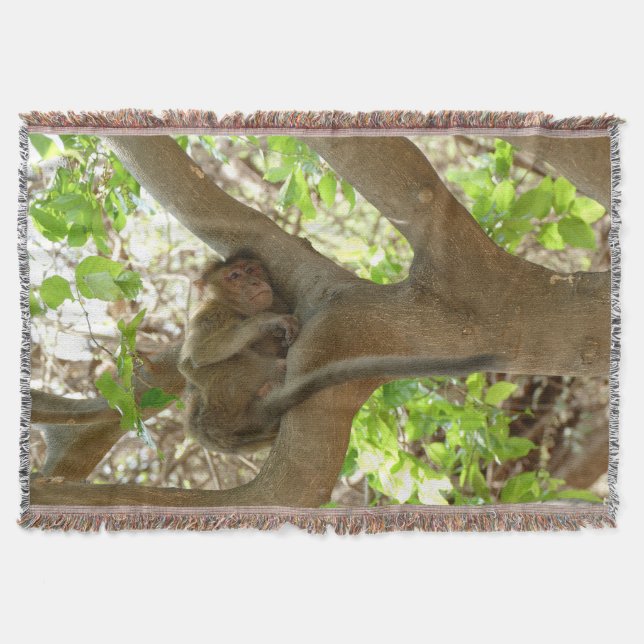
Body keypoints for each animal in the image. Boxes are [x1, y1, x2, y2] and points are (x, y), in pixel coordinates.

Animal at [179, 254, 499, 453]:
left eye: (251, 270)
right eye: (234, 276)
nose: (254, 283)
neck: (238, 309)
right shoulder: (211, 314)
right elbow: (195, 358)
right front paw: (267, 322)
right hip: (223, 403)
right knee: (206, 370)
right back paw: (274, 375)